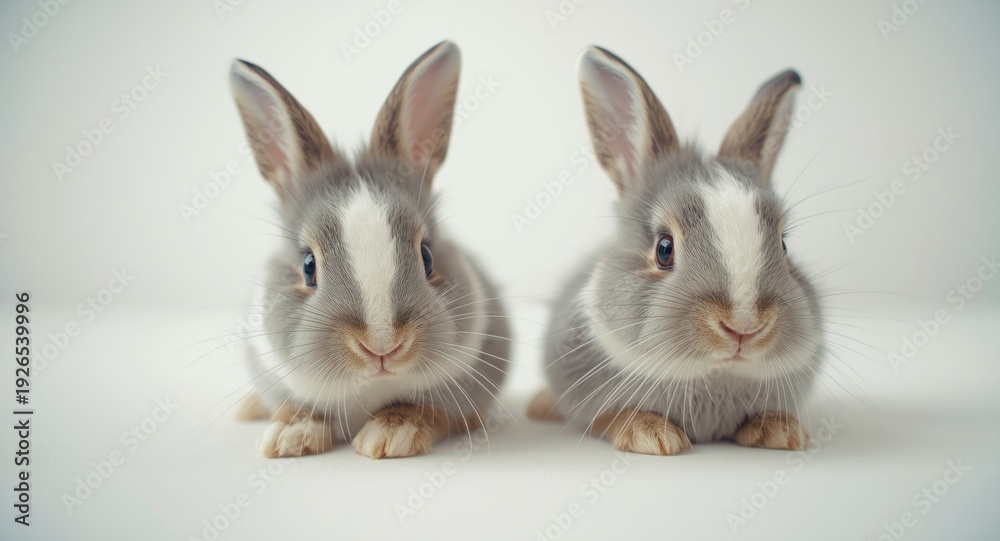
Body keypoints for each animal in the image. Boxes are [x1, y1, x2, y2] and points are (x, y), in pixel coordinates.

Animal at [228, 41, 510, 459]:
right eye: (308, 266)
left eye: (427, 256)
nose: (382, 347)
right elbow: (299, 407)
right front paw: (287, 436)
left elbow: (428, 408)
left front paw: (391, 434)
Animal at [528, 46, 824, 455]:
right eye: (664, 249)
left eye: (783, 243)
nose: (744, 326)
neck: (714, 375)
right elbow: (610, 415)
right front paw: (650, 434)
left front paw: (782, 430)